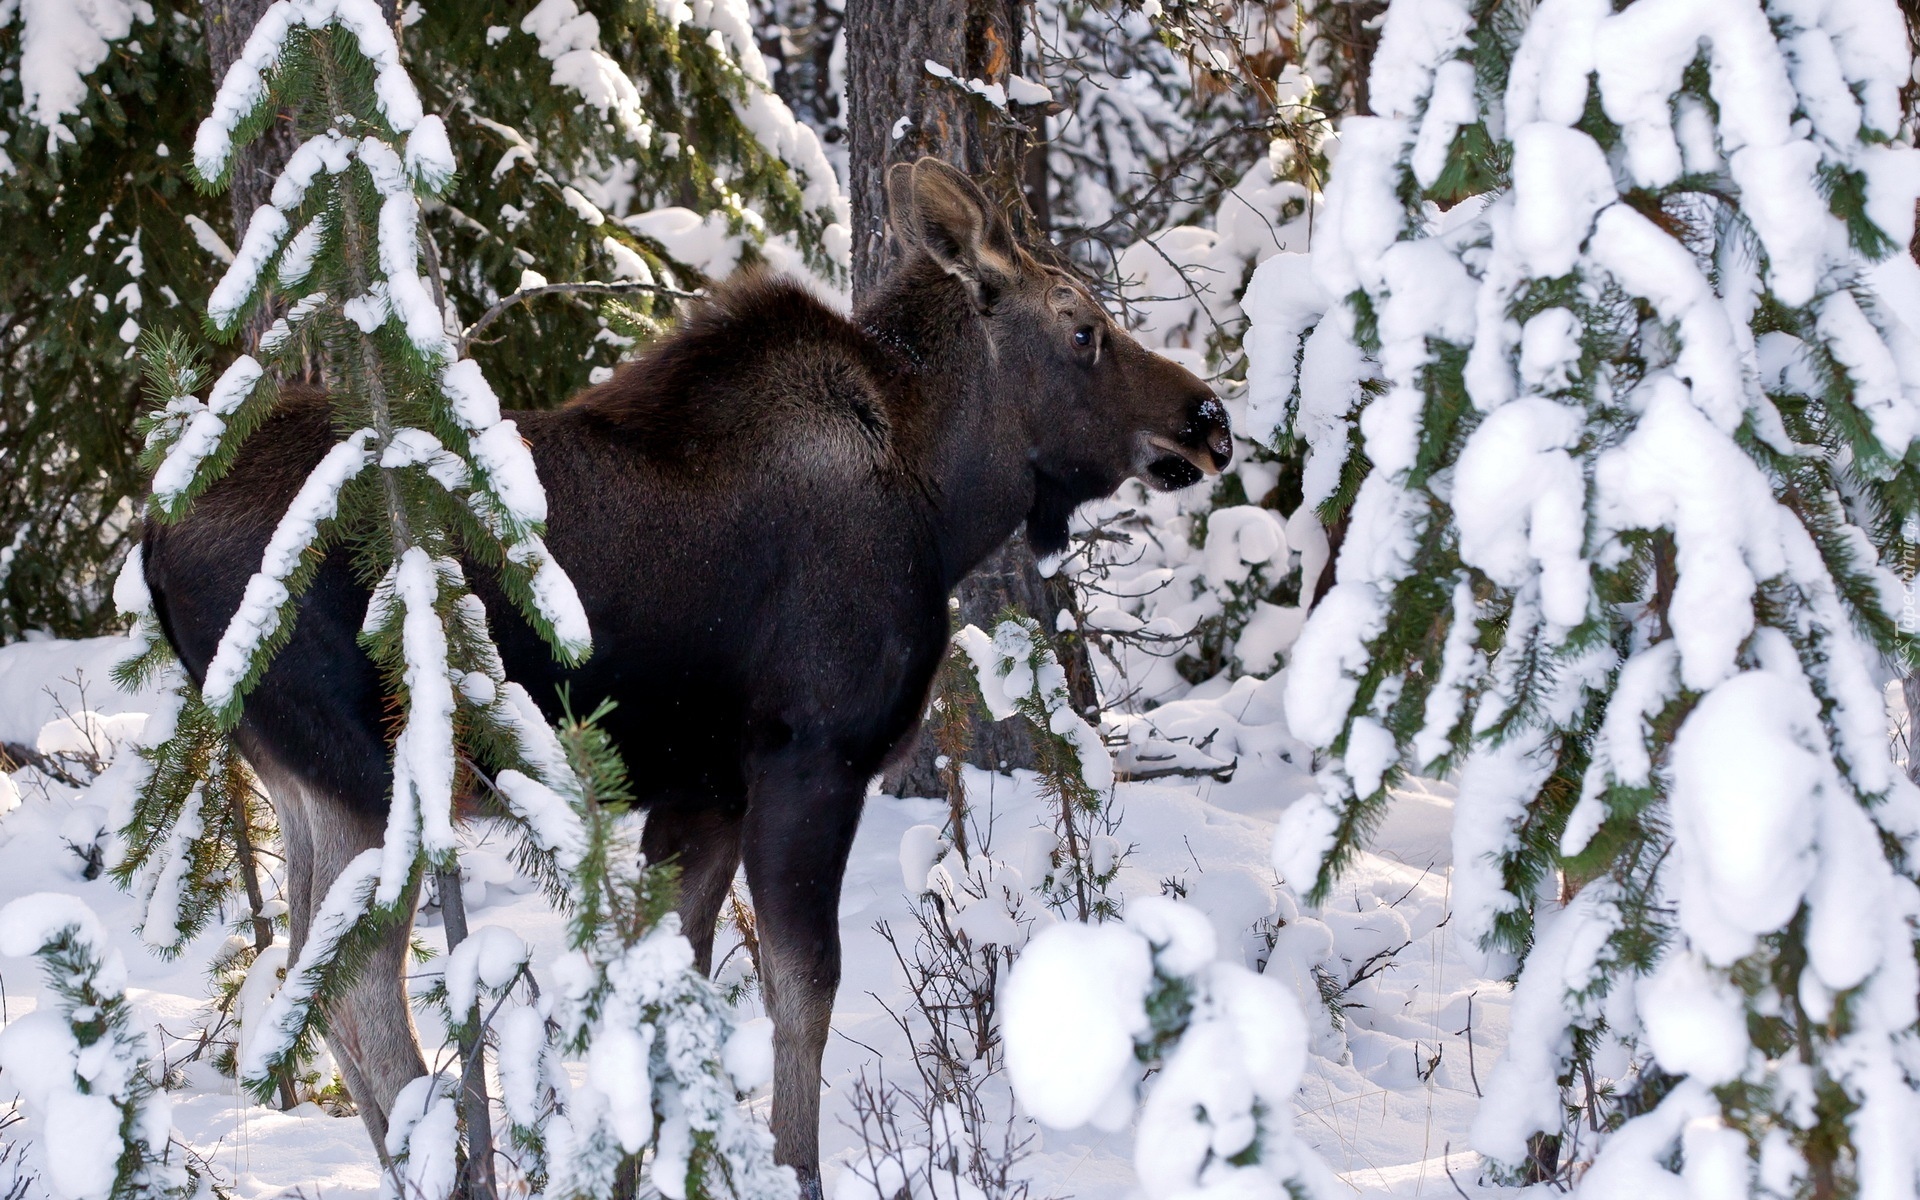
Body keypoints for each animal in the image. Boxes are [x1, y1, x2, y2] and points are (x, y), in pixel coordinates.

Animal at [145, 156, 1228, 1190]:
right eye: (1083, 328)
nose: (1209, 418)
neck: (944, 504)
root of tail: (150, 541)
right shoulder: (811, 759)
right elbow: (802, 991)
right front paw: (794, 1168)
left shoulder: (702, 795)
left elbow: (672, 988)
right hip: (372, 767)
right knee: (358, 991)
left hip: (299, 776)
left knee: (302, 981)